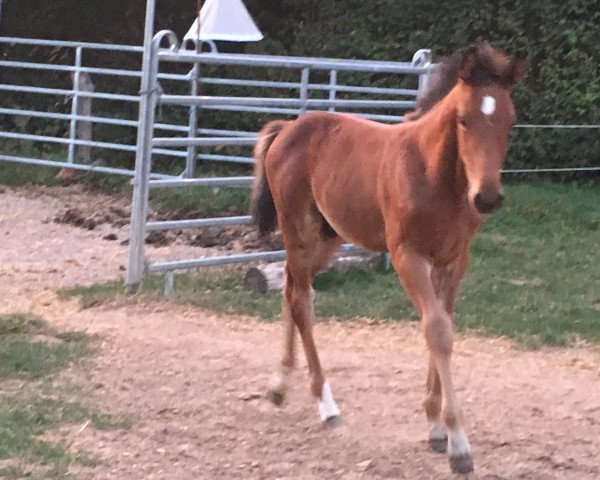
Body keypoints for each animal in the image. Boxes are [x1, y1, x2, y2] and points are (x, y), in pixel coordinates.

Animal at [248, 42, 524, 476]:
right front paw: (458, 445)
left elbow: (444, 324)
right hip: (298, 231)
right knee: (301, 299)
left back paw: (279, 387)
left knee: (291, 287)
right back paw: (326, 406)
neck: (435, 175)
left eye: (510, 120)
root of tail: (286, 129)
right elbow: (437, 331)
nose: (487, 197)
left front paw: (435, 428)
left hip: (328, 238)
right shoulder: (407, 256)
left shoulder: (453, 260)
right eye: (463, 119)